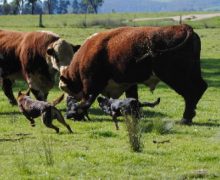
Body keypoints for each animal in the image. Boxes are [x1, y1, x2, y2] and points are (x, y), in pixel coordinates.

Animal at [59, 23, 207, 124]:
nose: (67, 112)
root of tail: (184, 27)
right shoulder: (129, 83)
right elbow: (132, 98)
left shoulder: (91, 84)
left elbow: (86, 101)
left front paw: (77, 114)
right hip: (191, 73)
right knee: (200, 88)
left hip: (175, 76)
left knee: (191, 92)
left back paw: (185, 118)